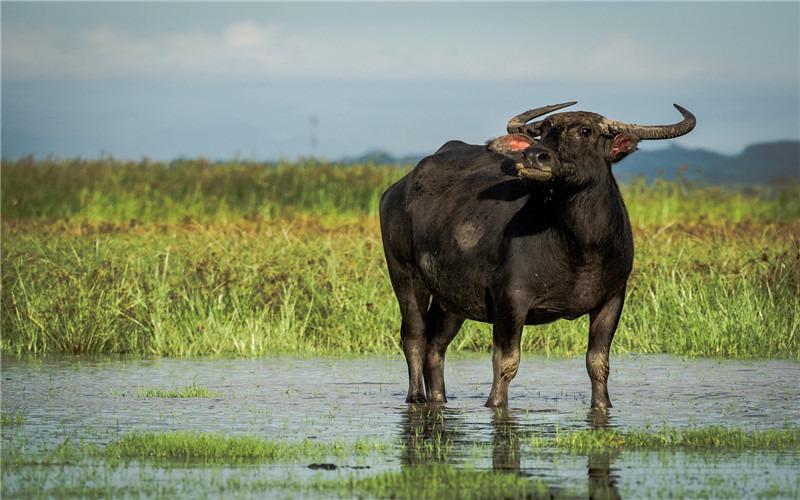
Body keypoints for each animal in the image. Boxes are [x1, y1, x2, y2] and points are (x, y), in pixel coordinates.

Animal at [380, 103, 692, 408]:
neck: (581, 249)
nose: (533, 156)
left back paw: (439, 398)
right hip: (405, 275)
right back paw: (416, 397)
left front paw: (603, 404)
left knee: (436, 344)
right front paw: (495, 403)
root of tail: (396, 190)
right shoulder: (510, 299)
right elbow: (505, 362)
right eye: (543, 132)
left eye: (585, 130)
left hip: (452, 298)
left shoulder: (612, 299)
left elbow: (598, 362)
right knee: (414, 337)